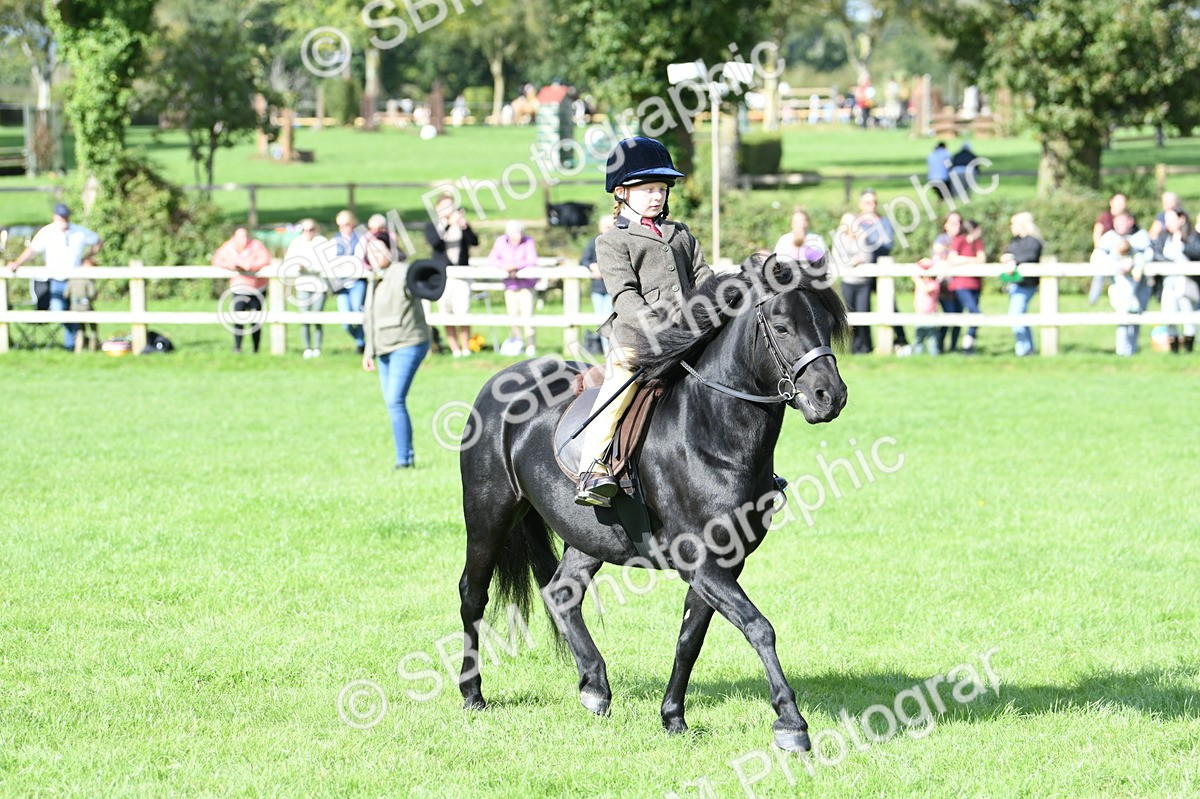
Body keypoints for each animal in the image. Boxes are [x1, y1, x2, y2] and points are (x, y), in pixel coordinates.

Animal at [456, 252, 850, 751]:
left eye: (826, 324)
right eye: (780, 326)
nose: (830, 397)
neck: (709, 431)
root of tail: (502, 380)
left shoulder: (725, 563)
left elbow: (690, 639)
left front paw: (673, 717)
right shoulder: (701, 561)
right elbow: (759, 626)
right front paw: (791, 724)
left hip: (588, 536)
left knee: (562, 593)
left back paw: (595, 686)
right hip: (489, 515)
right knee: (473, 595)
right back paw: (472, 693)